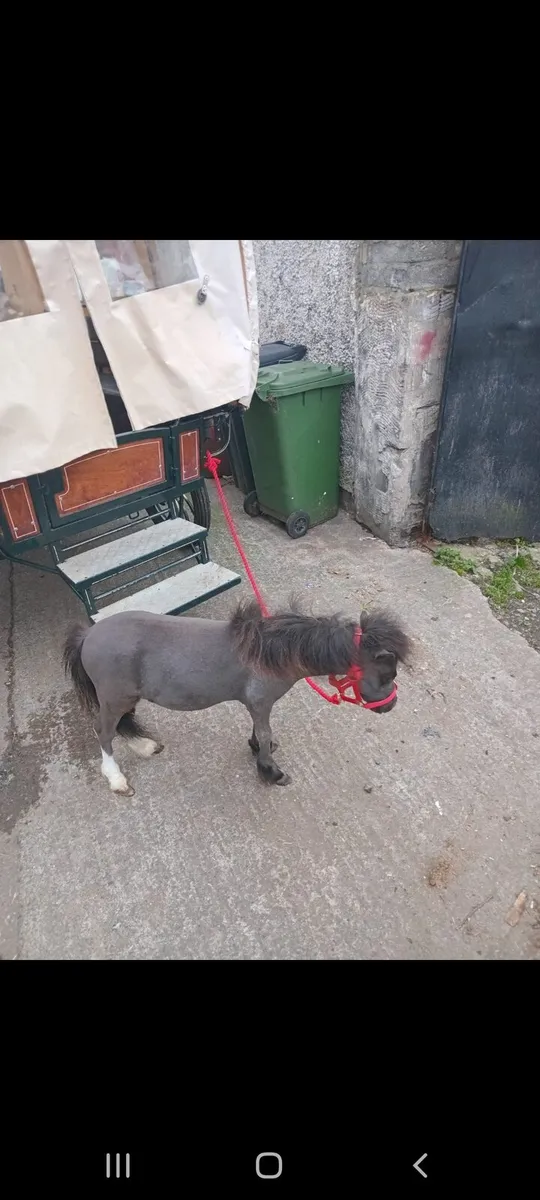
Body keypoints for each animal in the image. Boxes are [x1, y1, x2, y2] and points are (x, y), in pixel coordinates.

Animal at [62, 601, 410, 797]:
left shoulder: (255, 705)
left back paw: (146, 746)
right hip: (114, 698)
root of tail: (87, 635)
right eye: (387, 674)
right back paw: (116, 779)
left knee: (121, 725)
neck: (272, 651)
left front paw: (258, 749)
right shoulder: (261, 702)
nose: (391, 704)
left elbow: (261, 731)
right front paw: (271, 771)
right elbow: (266, 732)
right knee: (104, 731)